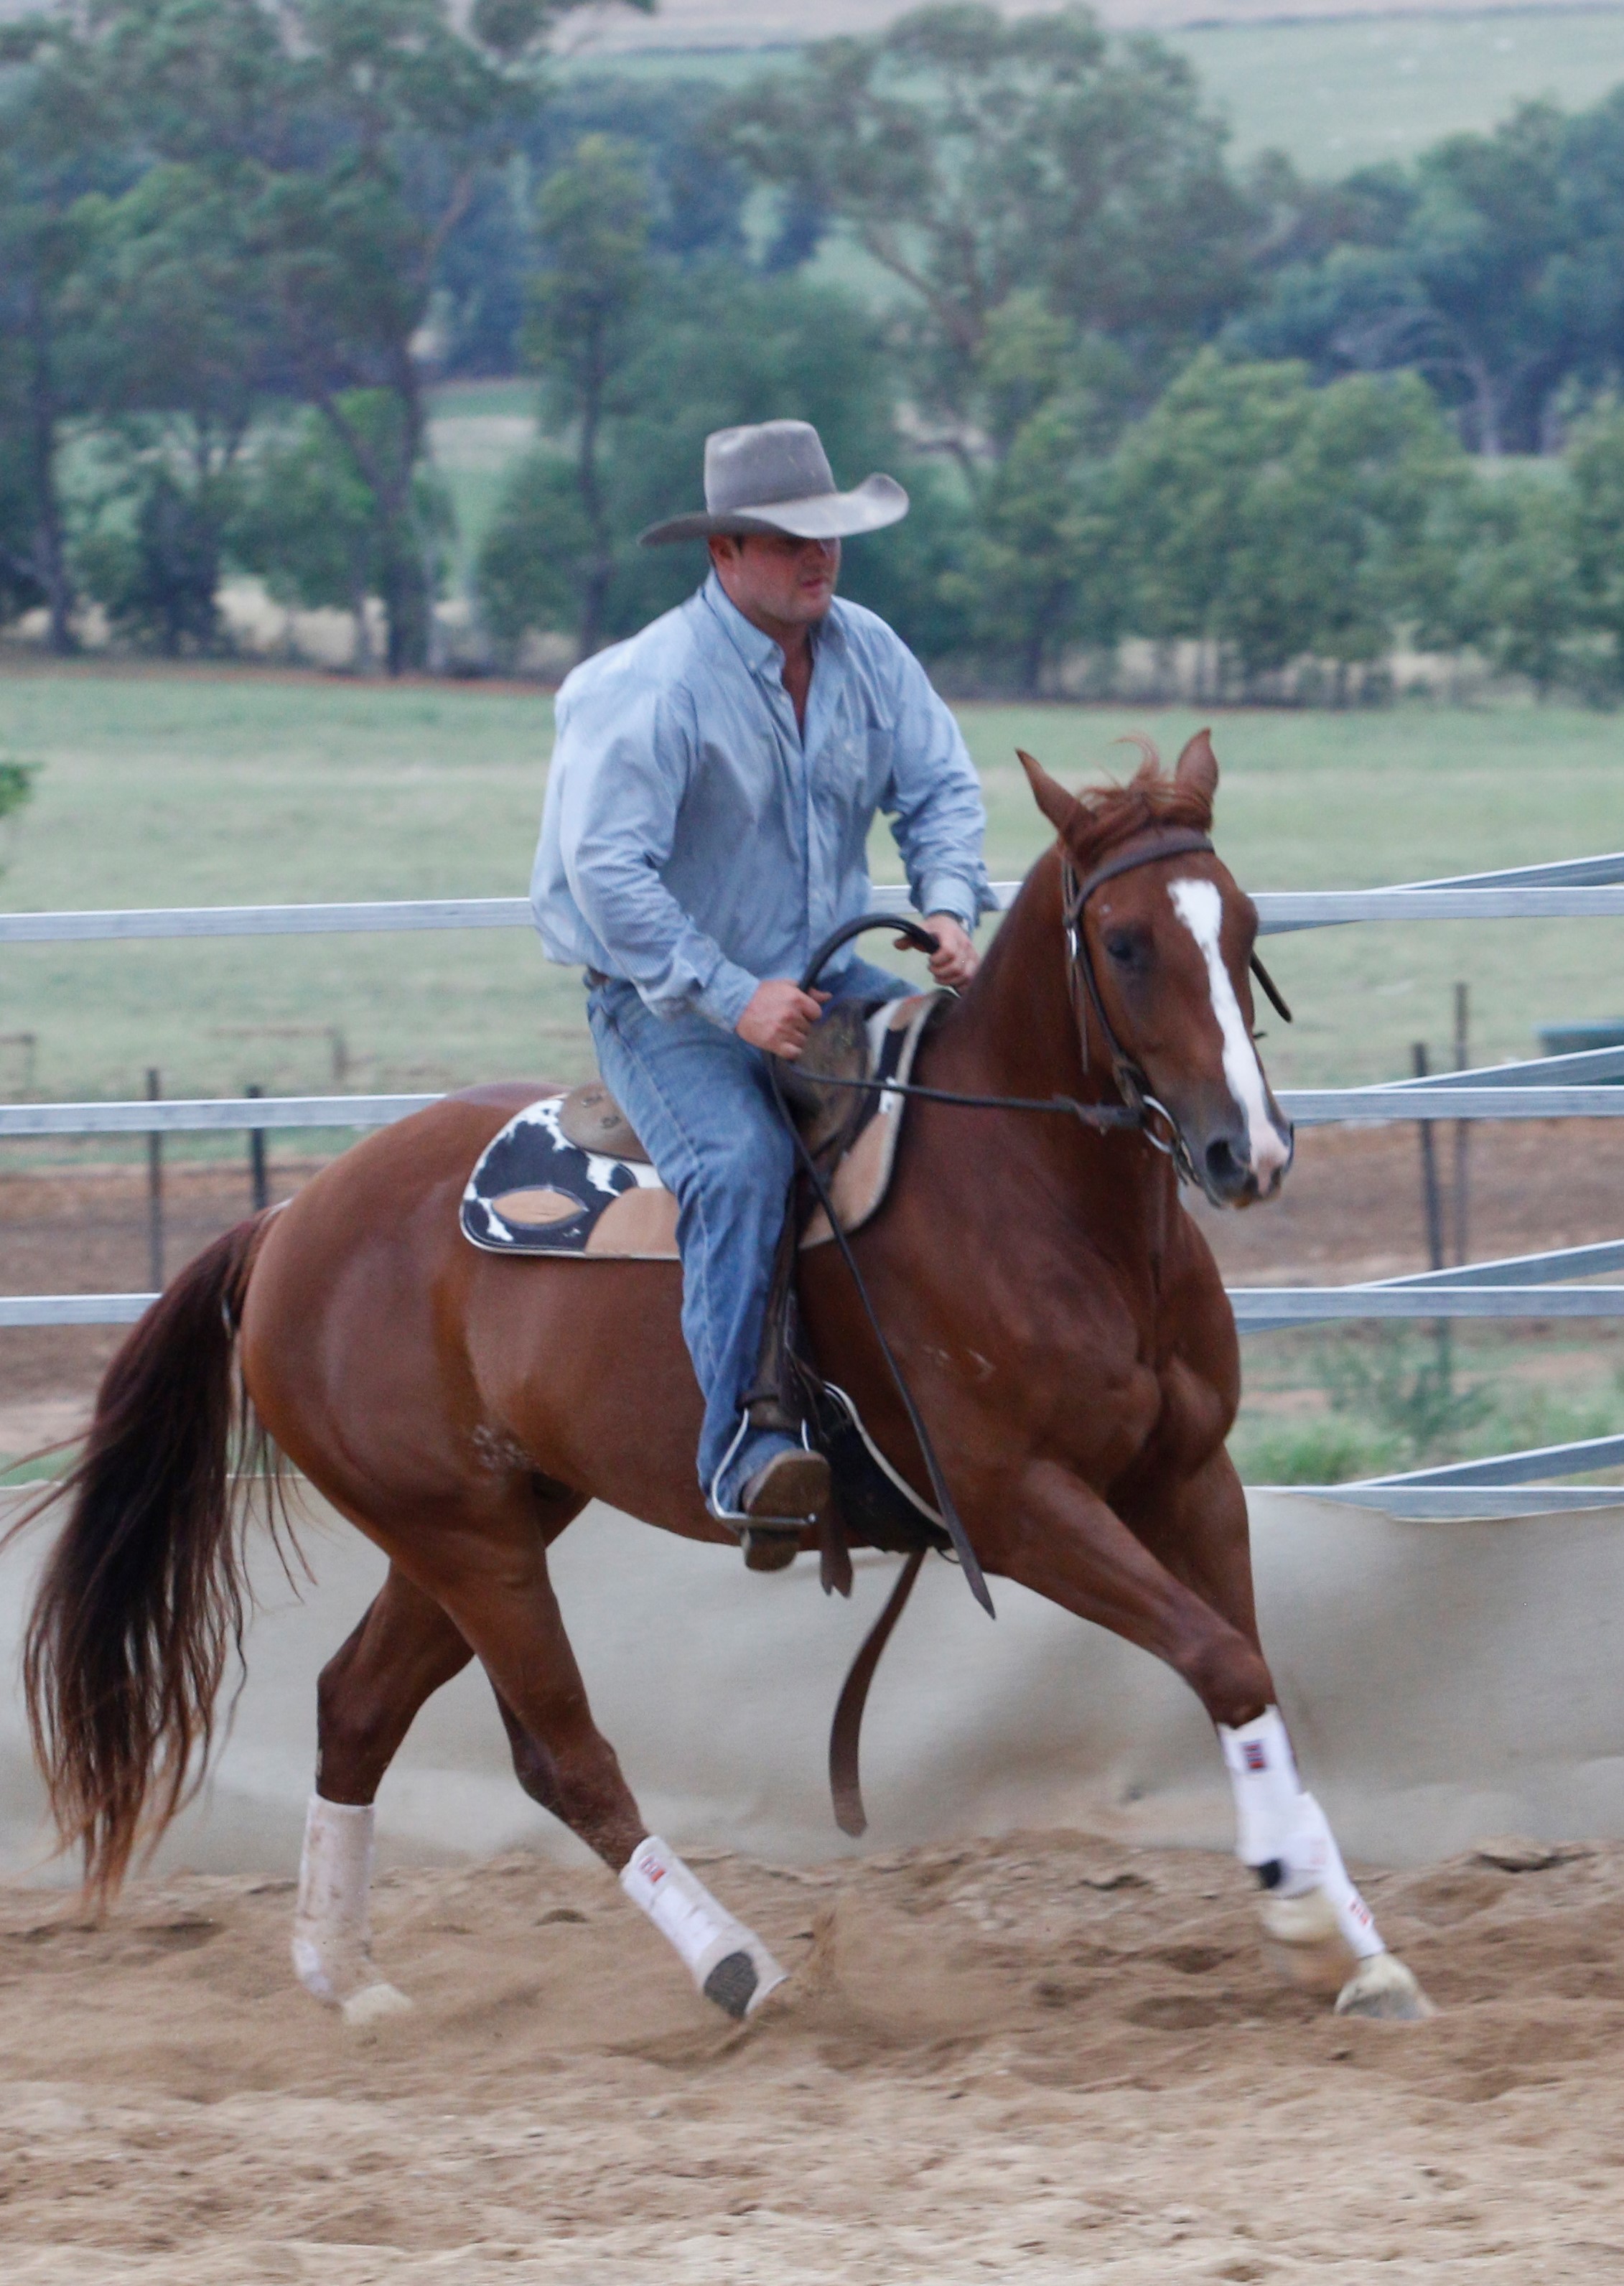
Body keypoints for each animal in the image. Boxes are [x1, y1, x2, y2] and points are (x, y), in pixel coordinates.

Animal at [18, 729, 1432, 2026]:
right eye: (1127, 943)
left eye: (1240, 923)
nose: (1247, 1151)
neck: (1038, 1197)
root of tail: (287, 1222)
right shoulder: (1018, 1504)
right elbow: (1219, 1660)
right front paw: (1305, 1919)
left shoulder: (1188, 1478)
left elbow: (1249, 1665)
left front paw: (1353, 1942)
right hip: (465, 1538)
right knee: (563, 1752)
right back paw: (734, 1964)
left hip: (483, 1521)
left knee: (356, 1705)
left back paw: (346, 1974)